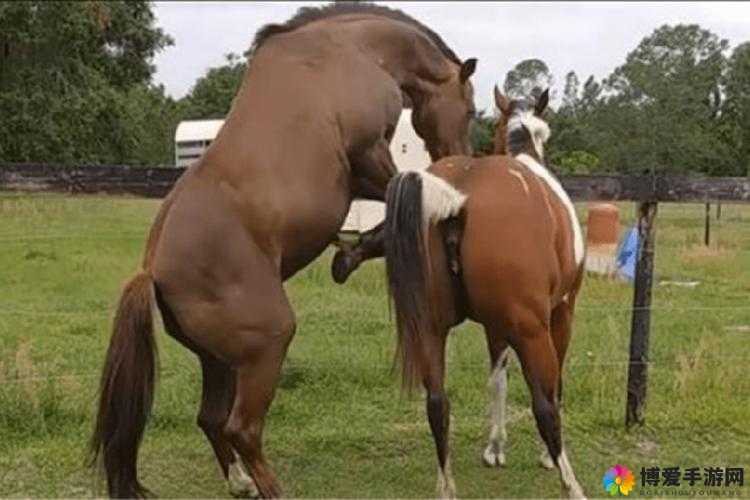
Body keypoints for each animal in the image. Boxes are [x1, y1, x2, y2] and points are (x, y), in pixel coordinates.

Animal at [89, 4, 477, 498]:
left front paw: (348, 254)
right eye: (470, 108)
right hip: (267, 346)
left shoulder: (361, 175)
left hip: (219, 360)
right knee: (241, 429)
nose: (459, 155)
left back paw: (240, 483)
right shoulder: (368, 156)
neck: (350, 48)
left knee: (211, 419)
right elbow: (406, 195)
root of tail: (153, 271)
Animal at [381, 87, 587, 498]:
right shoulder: (561, 312)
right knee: (544, 406)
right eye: (546, 133)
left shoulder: (494, 326)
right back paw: (570, 483)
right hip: (532, 330)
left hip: (430, 327)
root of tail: (458, 195)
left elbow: (497, 381)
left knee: (437, 404)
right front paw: (542, 456)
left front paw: (494, 447)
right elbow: (554, 386)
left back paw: (446, 487)